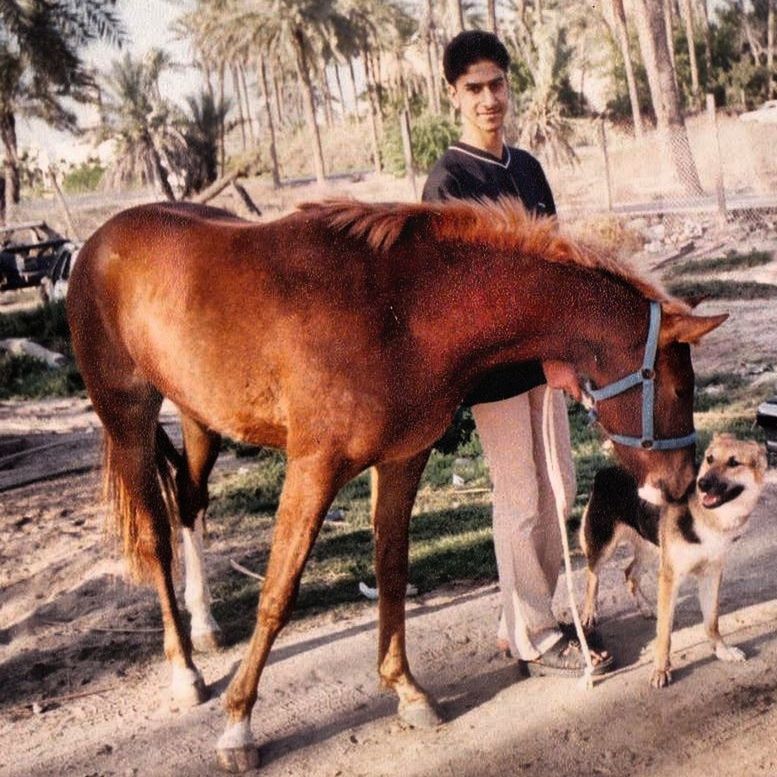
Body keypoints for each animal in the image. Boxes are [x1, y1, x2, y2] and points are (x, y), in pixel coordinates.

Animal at [65, 196, 720, 768]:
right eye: (677, 387)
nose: (683, 486)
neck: (403, 310)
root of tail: (100, 240)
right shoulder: (314, 467)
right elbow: (278, 593)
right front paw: (238, 725)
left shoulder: (403, 459)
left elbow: (393, 572)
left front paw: (404, 687)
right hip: (127, 417)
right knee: (154, 537)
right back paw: (184, 670)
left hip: (200, 417)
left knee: (189, 504)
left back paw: (204, 627)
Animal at [580, 434, 768, 688]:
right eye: (710, 459)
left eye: (733, 463)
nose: (703, 484)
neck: (709, 520)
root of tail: (606, 470)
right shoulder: (670, 577)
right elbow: (664, 634)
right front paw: (661, 669)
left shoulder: (711, 575)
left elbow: (712, 621)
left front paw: (722, 650)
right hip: (605, 548)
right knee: (592, 574)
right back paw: (589, 613)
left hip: (650, 546)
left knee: (630, 573)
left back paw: (647, 607)